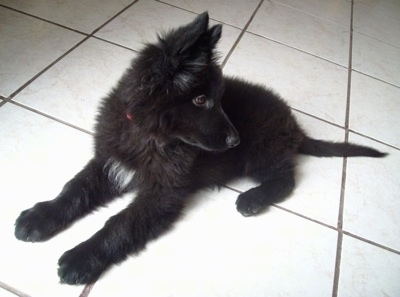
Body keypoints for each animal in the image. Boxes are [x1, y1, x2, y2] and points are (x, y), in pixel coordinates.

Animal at [14, 12, 386, 284]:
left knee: (286, 178)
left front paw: (82, 257)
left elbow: (120, 222)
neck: (150, 134)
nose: (235, 141)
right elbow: (73, 189)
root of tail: (294, 126)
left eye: (218, 99)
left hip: (261, 153)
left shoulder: (162, 192)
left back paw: (252, 198)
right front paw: (40, 216)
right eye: (200, 100)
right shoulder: (110, 162)